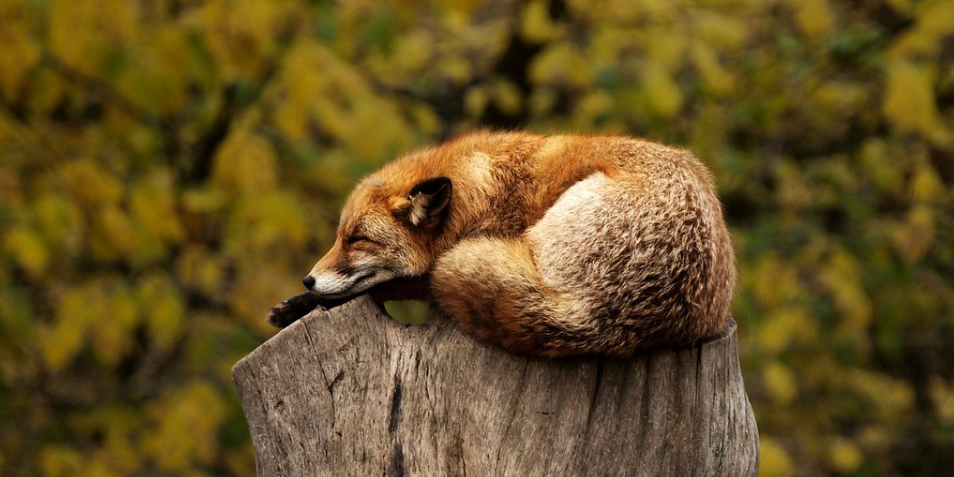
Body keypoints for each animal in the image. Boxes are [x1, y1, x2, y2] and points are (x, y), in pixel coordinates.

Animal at [267, 131, 736, 358]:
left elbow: (392, 284)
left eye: (357, 239)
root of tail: (600, 318)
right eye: (339, 236)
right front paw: (295, 304)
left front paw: (302, 304)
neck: (479, 195)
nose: (308, 280)